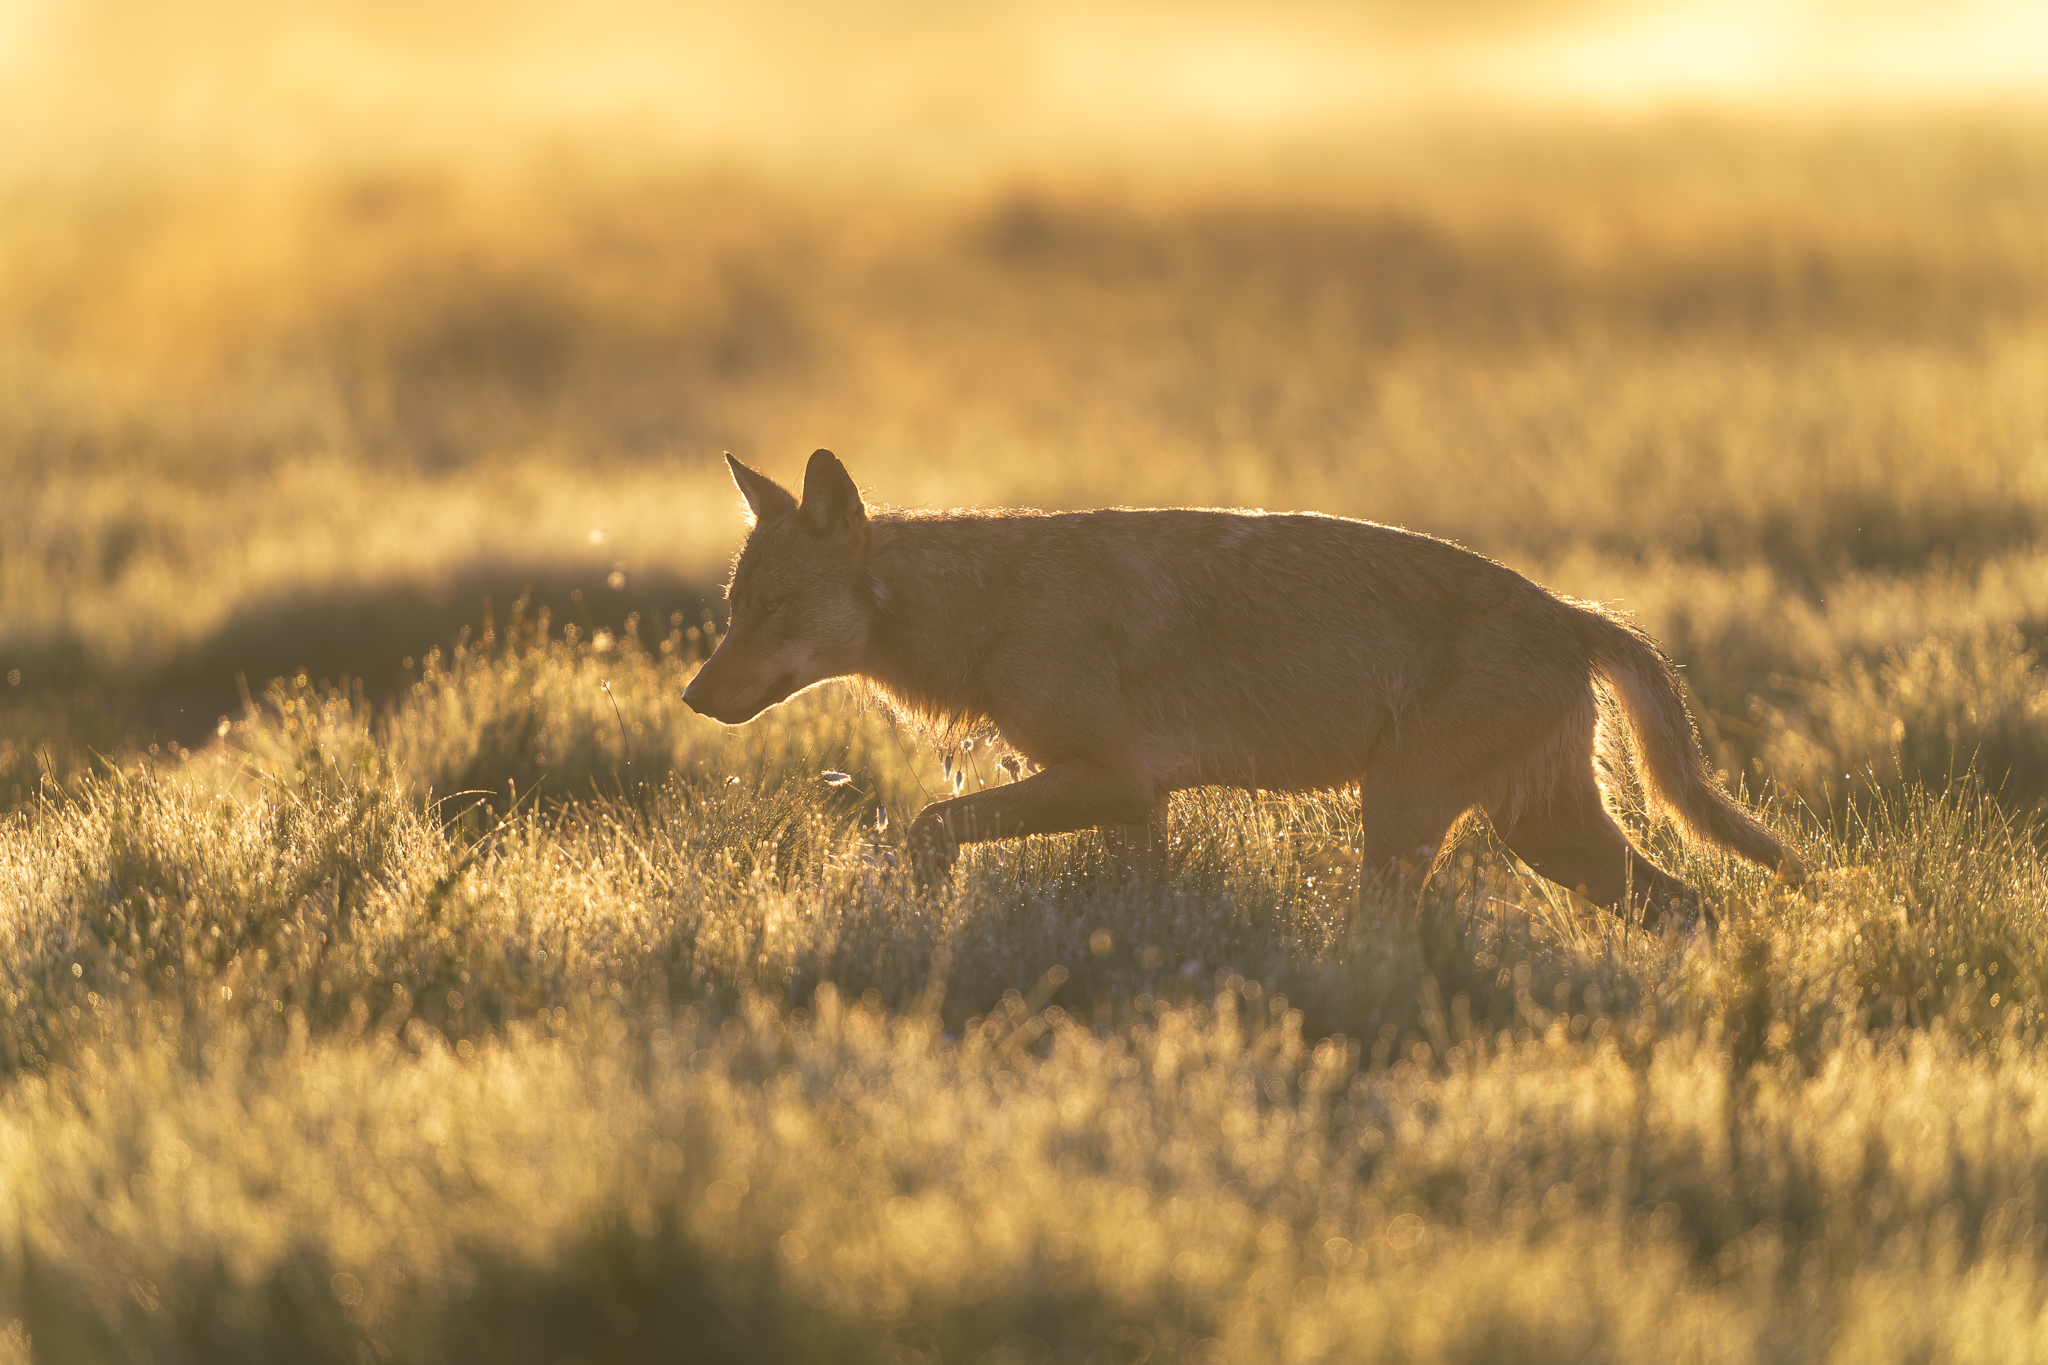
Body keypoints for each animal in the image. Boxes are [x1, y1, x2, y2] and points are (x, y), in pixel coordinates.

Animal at [682, 449, 1804, 926]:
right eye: (734, 610)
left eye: (774, 611)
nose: (693, 696)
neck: (988, 608)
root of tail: (1575, 613)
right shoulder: (1137, 805)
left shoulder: (1112, 781)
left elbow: (924, 826)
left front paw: (927, 917)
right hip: (1541, 835)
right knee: (1694, 906)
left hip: (1406, 820)